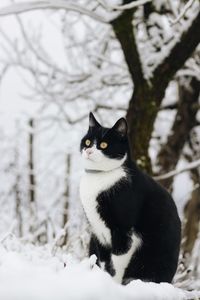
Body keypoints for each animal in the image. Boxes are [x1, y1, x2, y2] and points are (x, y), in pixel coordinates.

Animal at [79, 112, 181, 284]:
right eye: (87, 141)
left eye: (104, 145)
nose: (88, 151)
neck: (99, 178)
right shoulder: (98, 232)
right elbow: (104, 260)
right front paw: (102, 279)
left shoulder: (124, 232)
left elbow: (116, 264)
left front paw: (112, 285)